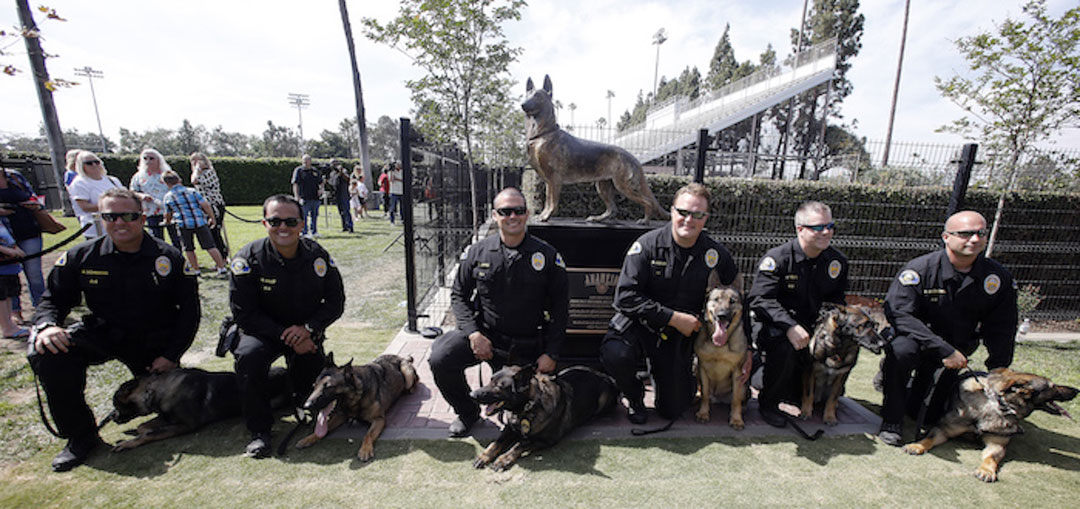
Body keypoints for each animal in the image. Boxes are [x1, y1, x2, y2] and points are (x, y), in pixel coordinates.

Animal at [109, 367, 291, 453]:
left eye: (116, 405)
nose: (113, 418)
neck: (154, 390)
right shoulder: (167, 417)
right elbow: (143, 427)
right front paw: (139, 433)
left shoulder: (186, 425)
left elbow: (150, 434)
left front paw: (128, 443)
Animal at [470, 367, 617, 471]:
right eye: (490, 381)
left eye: (499, 386)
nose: (472, 395)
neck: (528, 407)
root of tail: (606, 376)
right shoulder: (509, 429)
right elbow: (496, 442)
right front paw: (484, 456)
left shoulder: (545, 440)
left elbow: (519, 445)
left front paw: (503, 459)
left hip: (603, 399)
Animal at [520, 74, 665, 222]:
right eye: (527, 95)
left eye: (537, 96)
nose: (523, 104)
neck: (543, 134)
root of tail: (632, 157)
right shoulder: (549, 181)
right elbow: (547, 200)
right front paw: (543, 215)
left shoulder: (554, 179)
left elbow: (551, 201)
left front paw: (547, 216)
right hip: (602, 186)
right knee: (612, 209)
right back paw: (598, 218)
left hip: (624, 185)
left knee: (647, 202)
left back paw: (645, 221)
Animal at [695, 273, 747, 427]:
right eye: (716, 300)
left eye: (732, 301)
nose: (722, 315)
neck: (720, 345)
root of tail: (718, 399)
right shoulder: (702, 367)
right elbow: (705, 394)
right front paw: (703, 413)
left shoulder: (738, 372)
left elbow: (736, 400)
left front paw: (736, 419)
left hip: (745, 387)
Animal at [902, 369, 1080, 481]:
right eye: (1052, 386)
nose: (1076, 390)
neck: (997, 405)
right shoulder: (943, 429)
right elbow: (929, 438)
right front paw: (916, 446)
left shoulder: (997, 443)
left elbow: (991, 457)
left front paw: (986, 471)